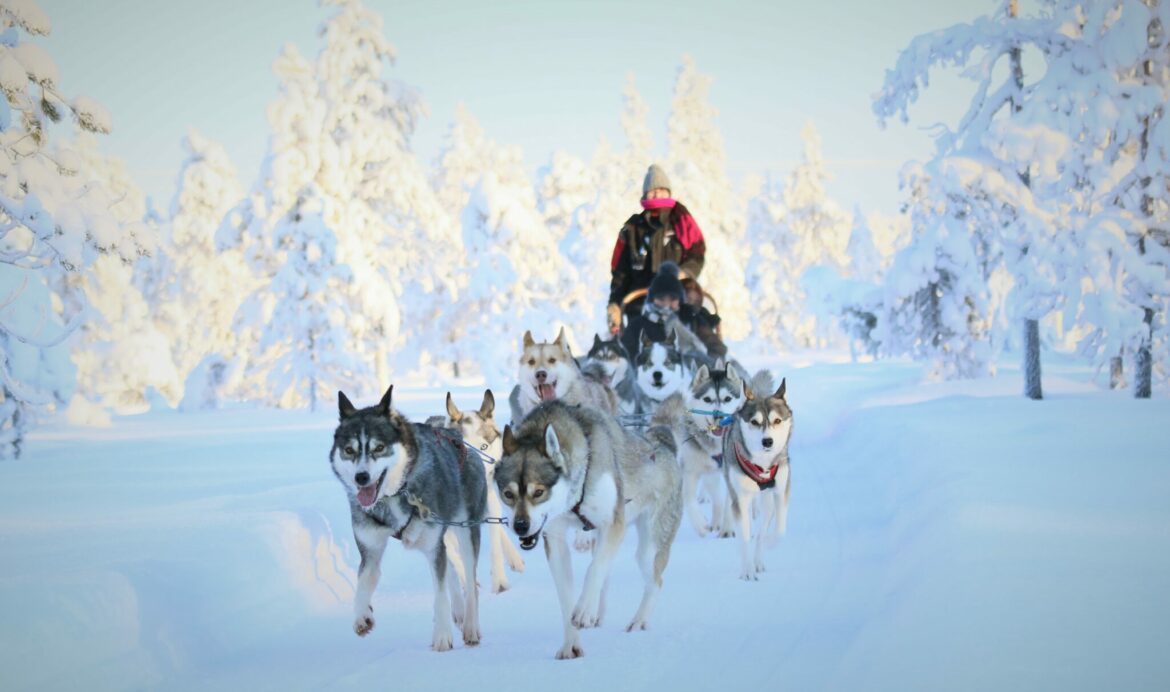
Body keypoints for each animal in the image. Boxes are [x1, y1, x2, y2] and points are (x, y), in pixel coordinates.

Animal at [332, 386, 486, 651]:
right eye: (349, 450)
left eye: (379, 447)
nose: (361, 477)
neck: (395, 495)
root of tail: (453, 435)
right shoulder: (370, 549)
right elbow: (363, 582)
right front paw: (362, 615)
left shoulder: (435, 545)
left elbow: (440, 593)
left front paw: (442, 635)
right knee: (451, 568)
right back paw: (458, 610)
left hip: (466, 531)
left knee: (468, 577)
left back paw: (470, 626)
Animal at [496, 400, 683, 660]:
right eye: (508, 494)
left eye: (539, 492)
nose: (520, 526)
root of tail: (663, 446)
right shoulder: (555, 539)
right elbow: (566, 598)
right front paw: (571, 645)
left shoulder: (613, 524)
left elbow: (594, 570)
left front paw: (584, 610)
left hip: (649, 547)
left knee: (654, 581)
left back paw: (637, 621)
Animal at [650, 365, 767, 538]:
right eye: (707, 399)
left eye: (727, 399)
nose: (718, 416)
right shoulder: (690, 471)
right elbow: (689, 499)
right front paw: (701, 525)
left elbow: (731, 503)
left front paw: (728, 529)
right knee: (716, 496)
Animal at [720, 379, 795, 578]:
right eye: (754, 422)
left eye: (777, 420)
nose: (767, 441)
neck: (762, 465)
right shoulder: (740, 498)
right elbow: (744, 536)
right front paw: (747, 570)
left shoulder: (780, 491)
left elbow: (780, 531)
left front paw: (768, 544)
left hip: (767, 499)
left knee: (763, 521)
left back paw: (759, 560)